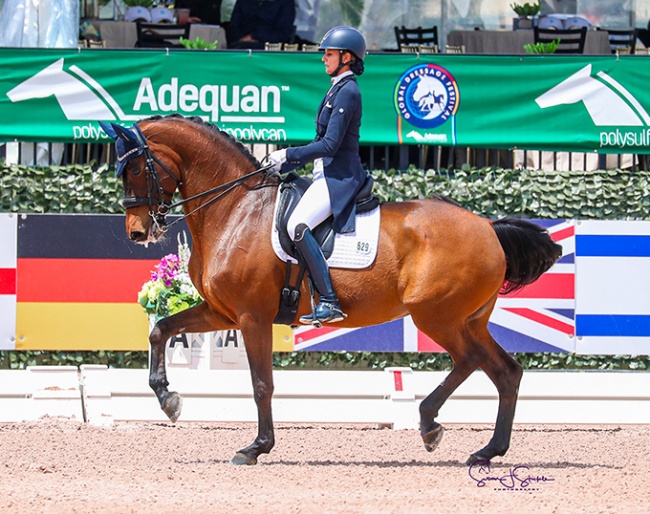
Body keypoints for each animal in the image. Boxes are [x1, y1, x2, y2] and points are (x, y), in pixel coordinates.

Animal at [102, 115, 560, 464]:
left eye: (136, 169)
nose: (138, 233)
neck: (235, 209)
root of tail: (488, 227)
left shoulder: (252, 317)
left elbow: (261, 383)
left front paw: (256, 447)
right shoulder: (222, 312)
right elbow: (160, 329)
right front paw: (168, 399)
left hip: (437, 315)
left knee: (470, 360)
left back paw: (430, 423)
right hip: (468, 318)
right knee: (505, 371)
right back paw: (488, 450)